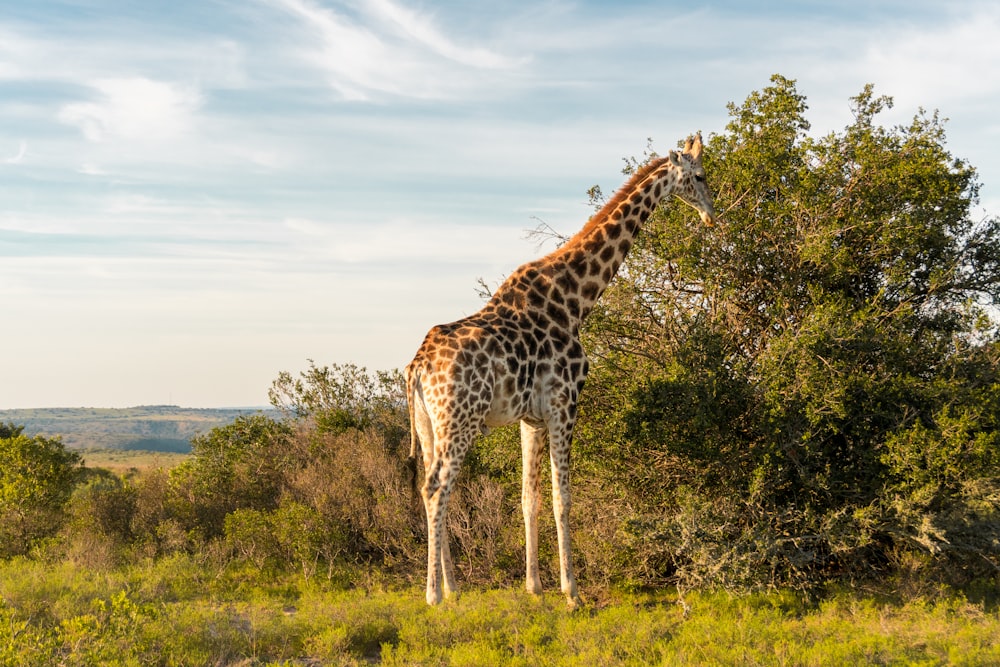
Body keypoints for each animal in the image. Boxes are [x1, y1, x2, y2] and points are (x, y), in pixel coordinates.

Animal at [406, 133, 720, 608]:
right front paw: (571, 590)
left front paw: (535, 586)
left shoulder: (531, 418)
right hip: (460, 419)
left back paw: (453, 586)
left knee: (433, 487)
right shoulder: (565, 403)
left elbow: (529, 498)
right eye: (699, 176)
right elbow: (563, 497)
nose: (711, 215)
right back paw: (434, 595)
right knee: (435, 487)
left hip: (430, 424)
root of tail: (417, 367)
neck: (574, 301)